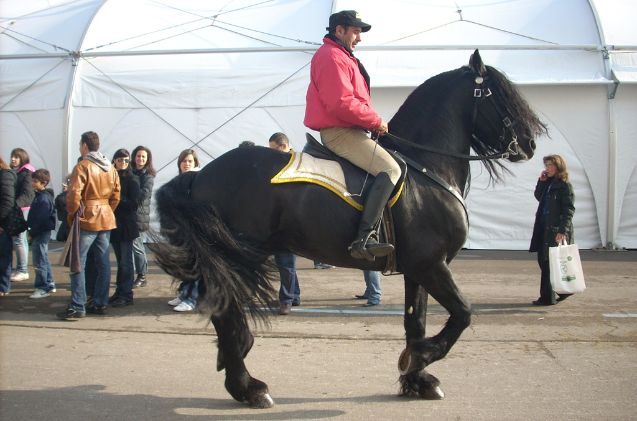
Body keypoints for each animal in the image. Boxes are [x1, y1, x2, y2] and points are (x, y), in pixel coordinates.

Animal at [152, 50, 544, 406]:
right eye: (497, 95)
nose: (529, 144)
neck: (426, 168)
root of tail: (201, 173)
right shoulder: (432, 265)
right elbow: (463, 313)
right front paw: (418, 360)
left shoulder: (418, 269)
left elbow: (415, 323)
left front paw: (417, 380)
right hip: (237, 257)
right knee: (225, 310)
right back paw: (249, 387)